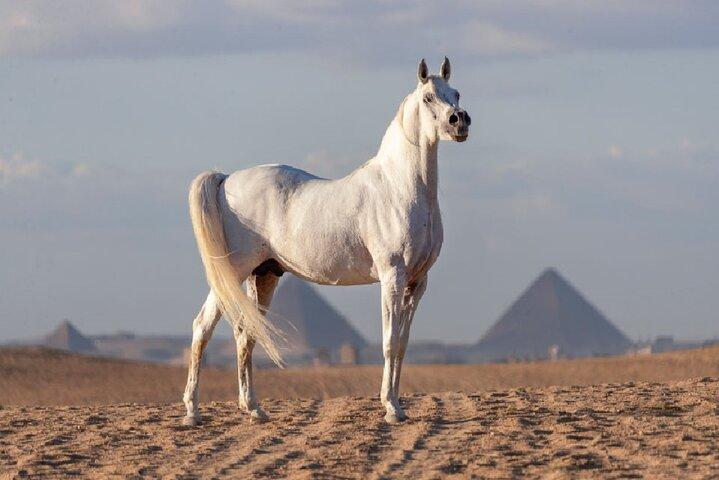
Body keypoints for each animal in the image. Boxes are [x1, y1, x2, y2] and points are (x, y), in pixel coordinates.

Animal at [182, 57, 471, 425]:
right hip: (233, 270)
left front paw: (399, 406)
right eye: (428, 97)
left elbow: (403, 344)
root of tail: (226, 179)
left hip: (264, 275)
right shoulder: (392, 277)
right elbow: (390, 342)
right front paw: (390, 408)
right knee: (202, 328)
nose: (460, 121)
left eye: (456, 93)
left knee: (246, 335)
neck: (400, 188)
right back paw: (192, 412)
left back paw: (254, 409)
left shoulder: (417, 282)